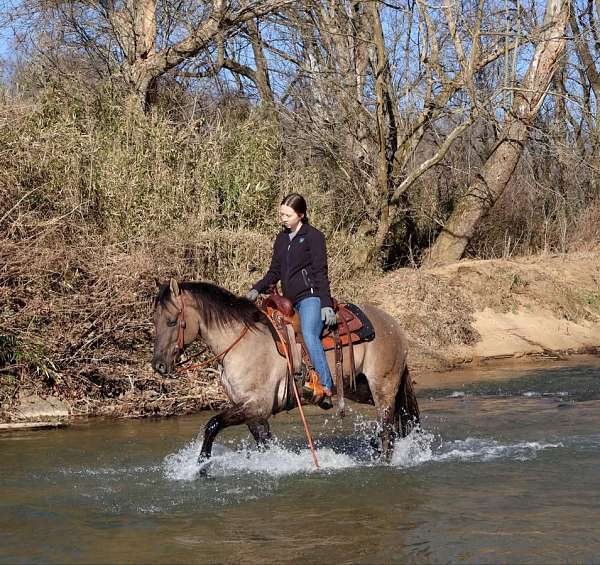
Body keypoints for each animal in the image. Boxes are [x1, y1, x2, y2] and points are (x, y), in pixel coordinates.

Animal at [152, 278, 420, 468]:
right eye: (155, 321)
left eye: (172, 321)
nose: (158, 366)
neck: (241, 343)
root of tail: (393, 324)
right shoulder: (251, 411)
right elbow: (264, 442)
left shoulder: (257, 405)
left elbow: (212, 423)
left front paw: (201, 466)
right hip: (361, 388)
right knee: (397, 419)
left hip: (382, 386)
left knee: (387, 428)